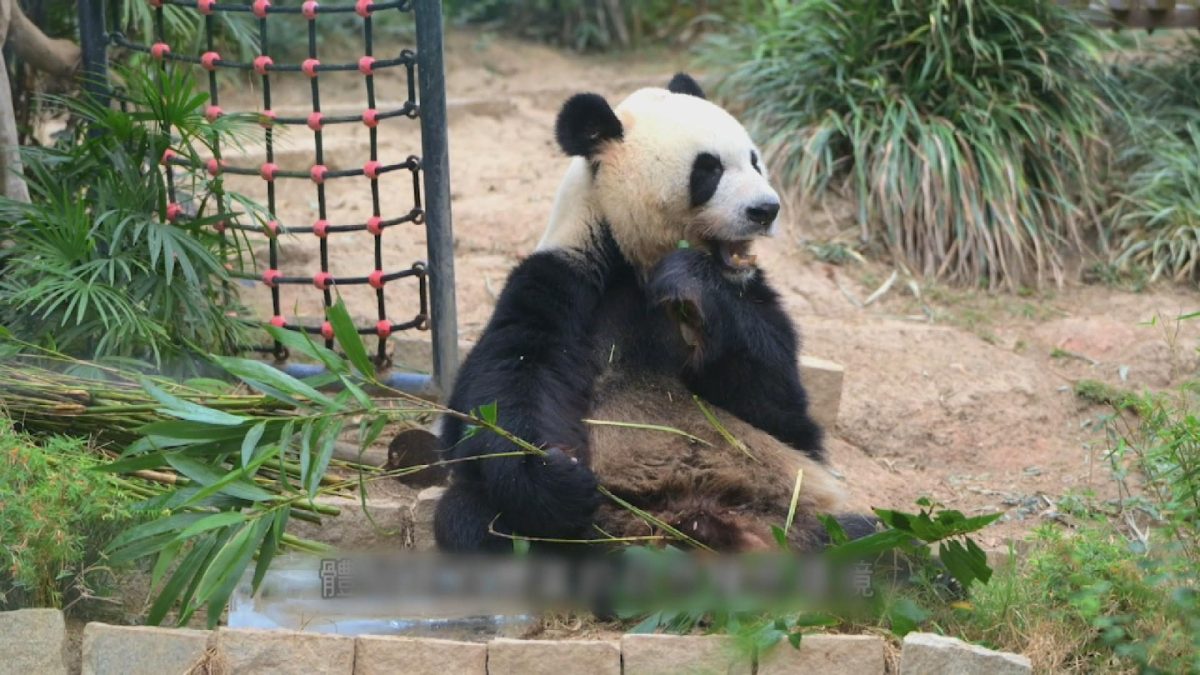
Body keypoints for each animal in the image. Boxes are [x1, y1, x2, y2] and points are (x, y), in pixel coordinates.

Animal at [434, 74, 874, 553]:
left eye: (755, 161)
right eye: (709, 170)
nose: (765, 209)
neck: (637, 262)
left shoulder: (747, 298)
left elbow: (780, 407)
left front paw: (693, 280)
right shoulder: (563, 280)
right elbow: (507, 381)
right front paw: (556, 475)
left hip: (794, 521)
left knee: (861, 538)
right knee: (473, 521)